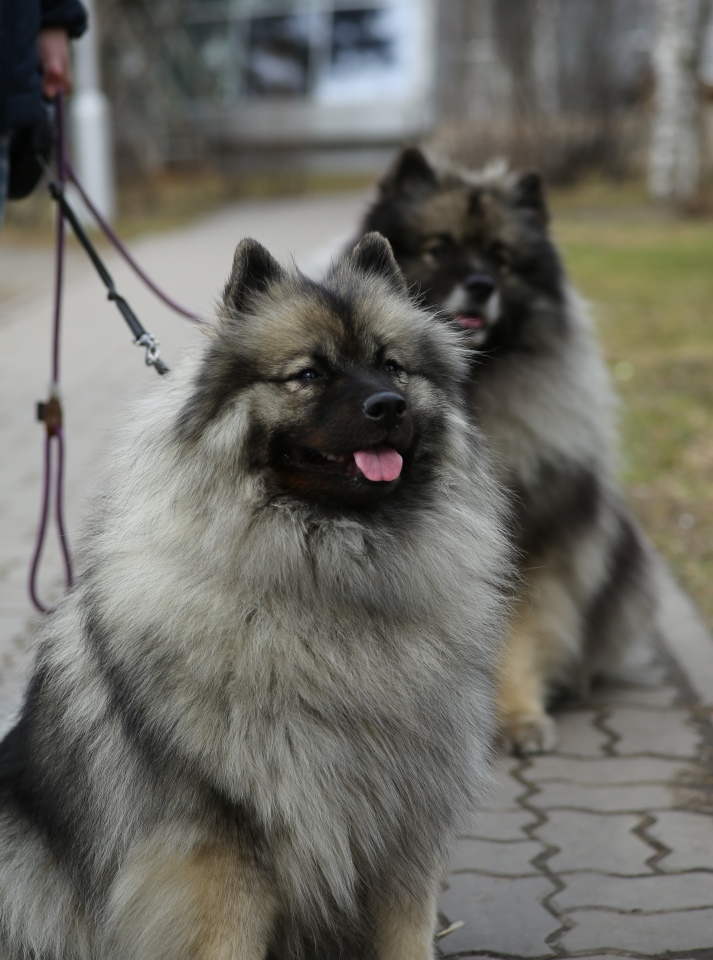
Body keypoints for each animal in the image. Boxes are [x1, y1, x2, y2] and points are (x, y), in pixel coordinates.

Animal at [362, 146, 656, 752]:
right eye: (439, 248)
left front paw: (519, 715)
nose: (479, 284)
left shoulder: (534, 542)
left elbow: (519, 633)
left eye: (501, 259)